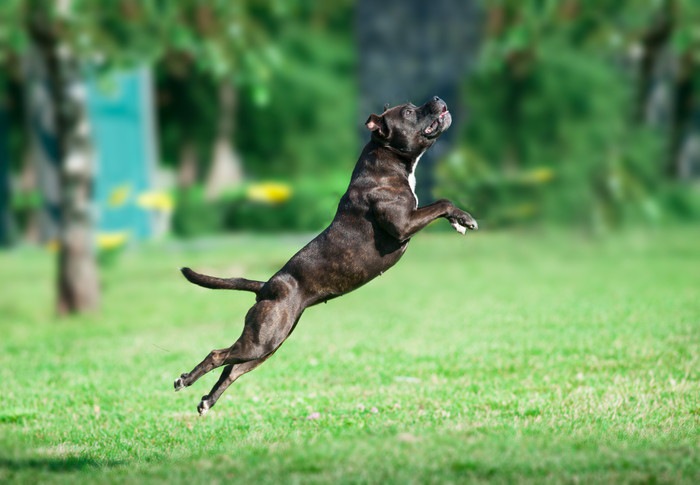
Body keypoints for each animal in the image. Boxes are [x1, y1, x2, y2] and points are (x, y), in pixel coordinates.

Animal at [174, 96, 476, 414]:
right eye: (408, 112)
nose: (437, 99)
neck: (387, 162)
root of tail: (268, 286)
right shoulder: (404, 223)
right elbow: (442, 201)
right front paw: (464, 218)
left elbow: (440, 204)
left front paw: (458, 221)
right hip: (261, 341)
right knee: (218, 355)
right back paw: (184, 380)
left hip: (268, 344)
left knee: (231, 369)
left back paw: (207, 401)